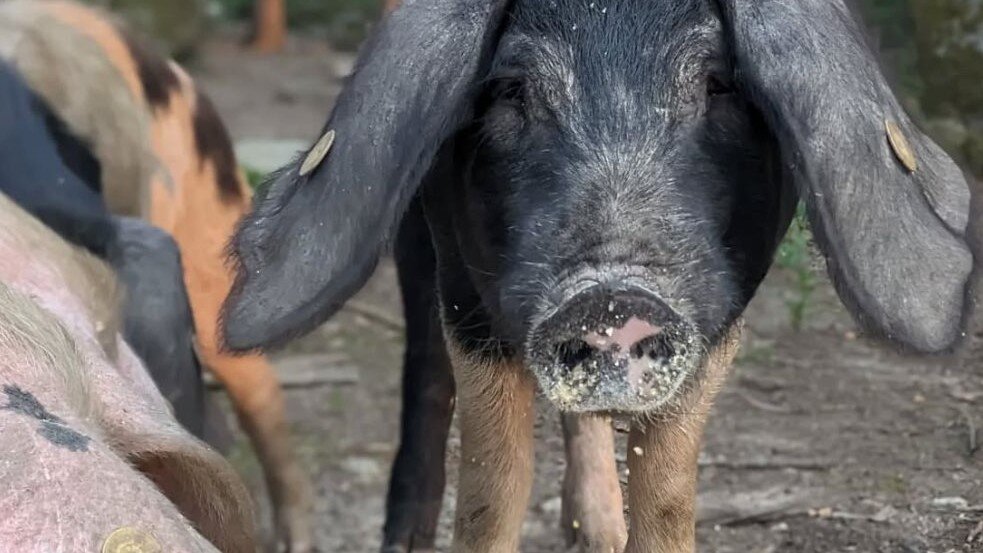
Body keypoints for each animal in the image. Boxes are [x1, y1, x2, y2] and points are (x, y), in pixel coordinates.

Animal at [223, 0, 973, 551]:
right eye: (512, 88)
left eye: (718, 83)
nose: (612, 295)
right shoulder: (469, 297)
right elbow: (494, 483)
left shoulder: (719, 311)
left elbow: (667, 488)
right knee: (424, 369)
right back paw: (405, 537)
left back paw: (597, 533)